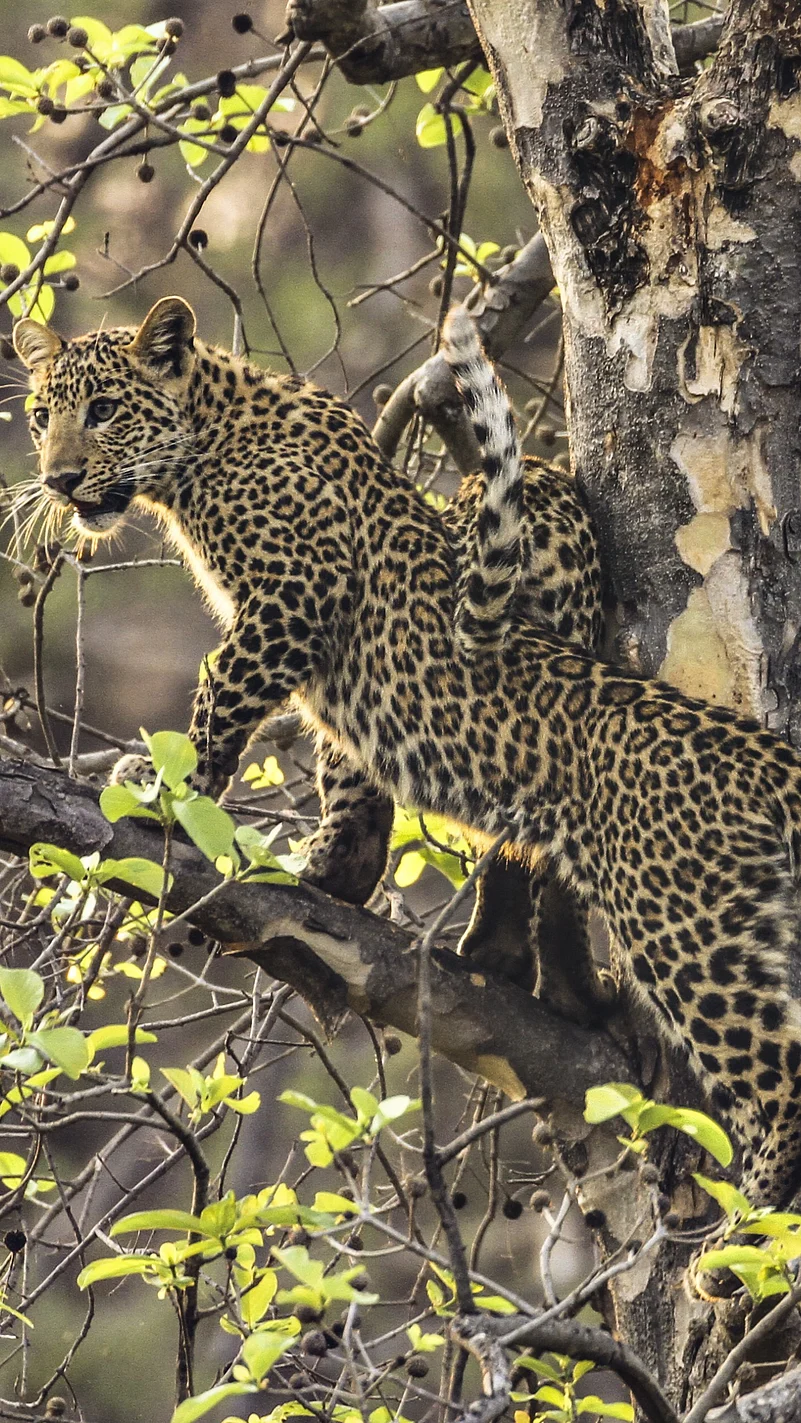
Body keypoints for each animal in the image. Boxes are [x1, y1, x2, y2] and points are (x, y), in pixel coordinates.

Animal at [13, 296, 801, 1207]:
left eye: (104, 410)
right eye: (40, 417)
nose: (58, 480)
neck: (204, 445)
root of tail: (758, 753)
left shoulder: (293, 594)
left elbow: (220, 692)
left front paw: (167, 789)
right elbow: (343, 759)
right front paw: (334, 866)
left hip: (687, 928)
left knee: (774, 1073)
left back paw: (751, 1213)